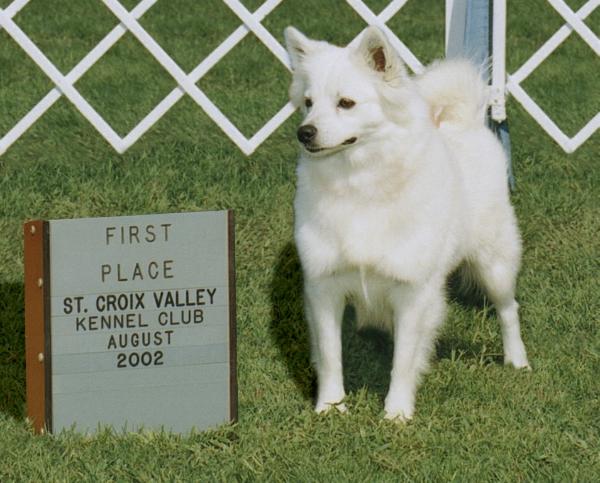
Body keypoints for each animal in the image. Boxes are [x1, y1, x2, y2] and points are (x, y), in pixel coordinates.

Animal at [286, 26, 528, 422]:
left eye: (346, 103)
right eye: (308, 102)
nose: (304, 133)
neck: (359, 183)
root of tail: (465, 124)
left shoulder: (412, 293)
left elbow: (403, 360)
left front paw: (396, 414)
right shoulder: (325, 287)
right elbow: (331, 356)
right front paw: (331, 408)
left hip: (495, 265)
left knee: (508, 310)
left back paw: (517, 361)